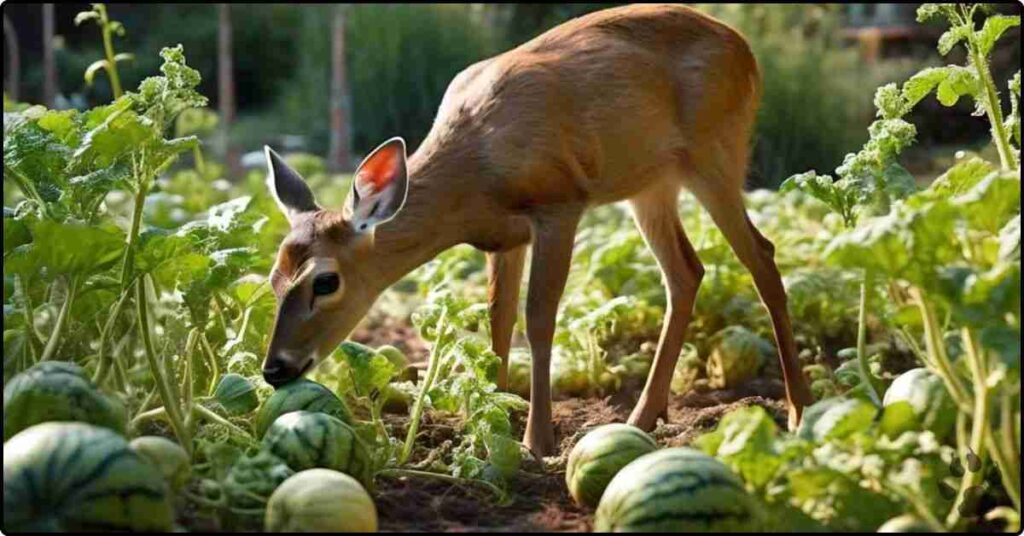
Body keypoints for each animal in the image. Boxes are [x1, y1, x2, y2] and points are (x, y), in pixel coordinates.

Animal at [262, 3, 815, 457]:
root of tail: (746, 51)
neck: (475, 172)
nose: (274, 369)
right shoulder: (504, 238)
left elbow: (539, 317)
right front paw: (487, 421)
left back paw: (796, 411)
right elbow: (498, 318)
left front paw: (537, 440)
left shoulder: (559, 205)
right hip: (652, 183)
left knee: (762, 257)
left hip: (716, 153)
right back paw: (644, 415)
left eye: (325, 281)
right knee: (686, 272)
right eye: (273, 277)